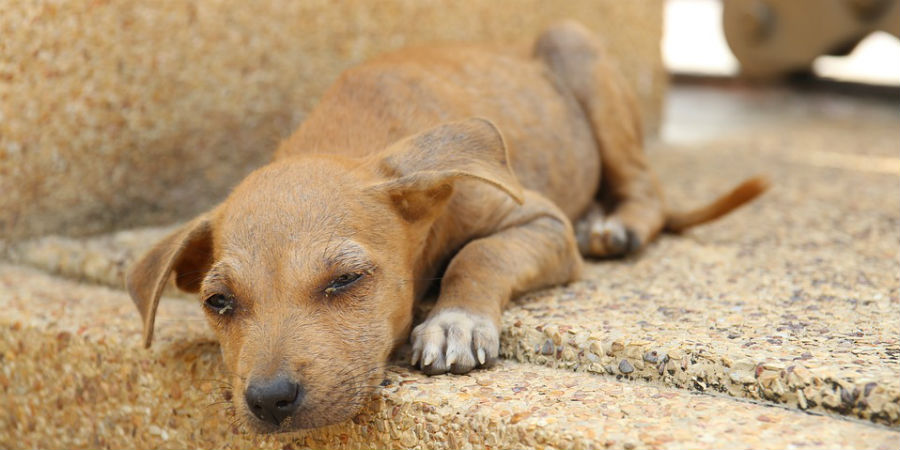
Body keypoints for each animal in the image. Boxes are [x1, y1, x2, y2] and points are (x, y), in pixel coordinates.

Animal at [127, 21, 768, 432]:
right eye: (218, 302)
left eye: (345, 280)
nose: (269, 400)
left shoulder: (541, 221)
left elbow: (478, 255)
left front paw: (454, 322)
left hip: (576, 48)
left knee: (646, 189)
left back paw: (616, 224)